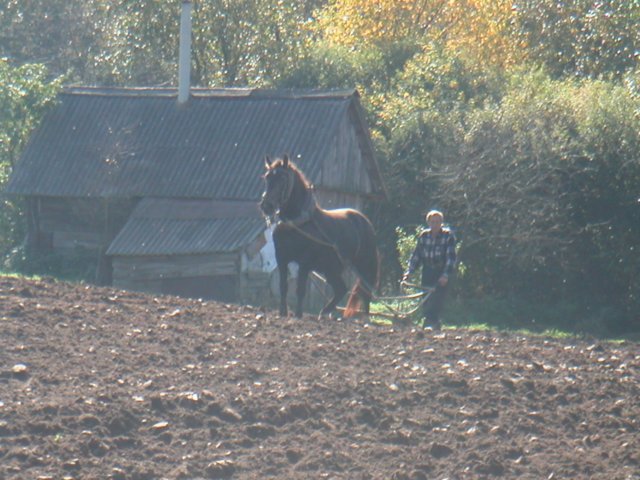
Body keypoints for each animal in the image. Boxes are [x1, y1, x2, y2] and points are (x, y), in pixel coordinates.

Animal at [260, 154, 380, 318]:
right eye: (267, 177)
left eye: (283, 179)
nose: (266, 206)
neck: (297, 222)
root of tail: (365, 222)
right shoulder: (282, 258)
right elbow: (283, 286)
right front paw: (283, 313)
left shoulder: (304, 262)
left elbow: (300, 289)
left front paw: (298, 314)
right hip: (331, 268)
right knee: (341, 289)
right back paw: (324, 312)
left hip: (363, 265)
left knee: (365, 292)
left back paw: (365, 318)